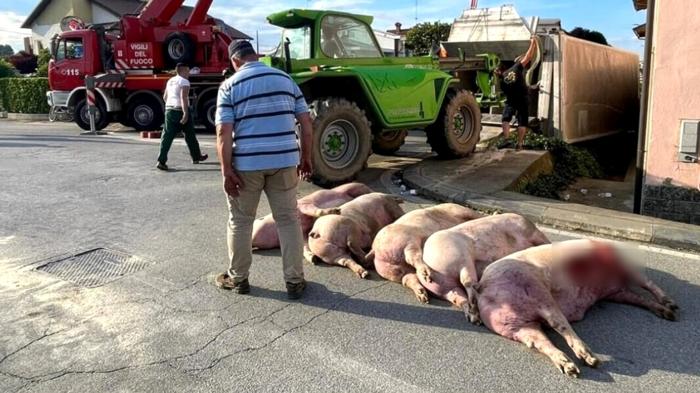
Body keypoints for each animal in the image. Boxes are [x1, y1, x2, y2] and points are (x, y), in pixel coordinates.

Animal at [418, 213, 548, 324]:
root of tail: (427, 258)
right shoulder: (529, 231)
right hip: (462, 256)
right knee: (468, 282)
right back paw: (475, 313)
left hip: (445, 288)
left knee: (460, 297)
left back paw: (474, 318)